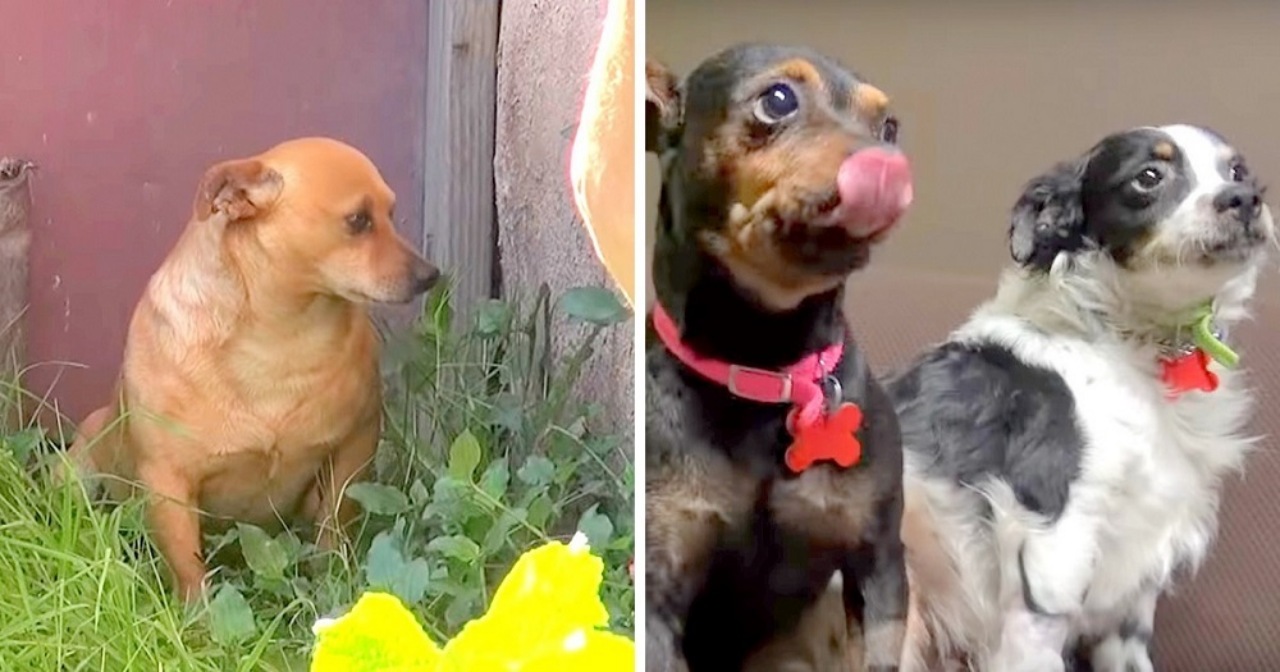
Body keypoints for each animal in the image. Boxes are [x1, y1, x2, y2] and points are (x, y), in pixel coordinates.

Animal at [63, 138, 440, 599]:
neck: (283, 337)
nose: (430, 275)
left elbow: (336, 522)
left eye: (390, 212)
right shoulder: (167, 482)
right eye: (358, 220)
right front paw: (200, 614)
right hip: (78, 473)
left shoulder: (356, 444)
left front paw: (332, 580)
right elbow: (187, 563)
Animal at [645, 44, 916, 665]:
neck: (768, 369)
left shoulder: (880, 565)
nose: (889, 162)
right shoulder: (657, 590)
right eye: (778, 100)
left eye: (889, 126)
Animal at [890, 125, 1269, 670]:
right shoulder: (1050, 562)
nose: (1245, 199)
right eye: (1148, 176)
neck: (1130, 343)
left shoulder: (1133, 590)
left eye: (1236, 170)